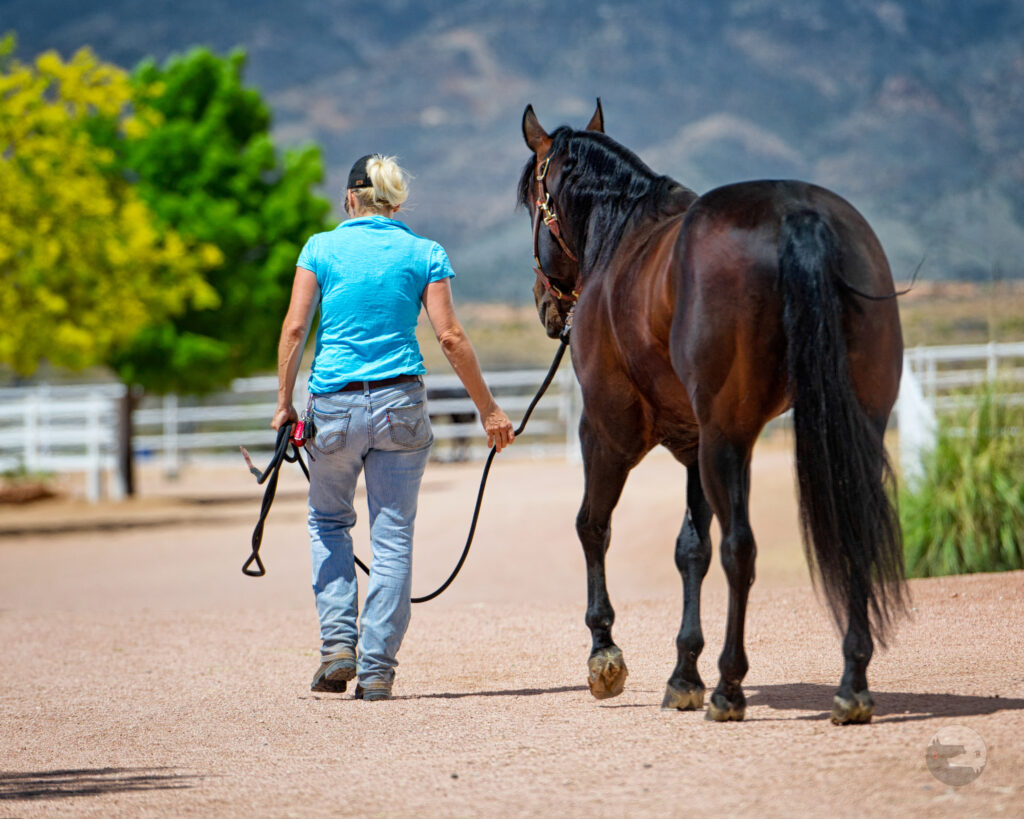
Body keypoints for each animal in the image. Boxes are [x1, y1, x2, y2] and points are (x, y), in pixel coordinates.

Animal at [519, 101, 907, 724]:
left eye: (534, 199)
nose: (546, 306)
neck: (622, 240)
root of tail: (799, 217)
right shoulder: (694, 441)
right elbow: (690, 550)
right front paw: (683, 674)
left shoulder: (607, 430)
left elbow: (593, 526)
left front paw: (605, 655)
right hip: (855, 428)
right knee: (849, 537)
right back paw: (852, 684)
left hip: (727, 438)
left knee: (740, 548)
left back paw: (729, 687)